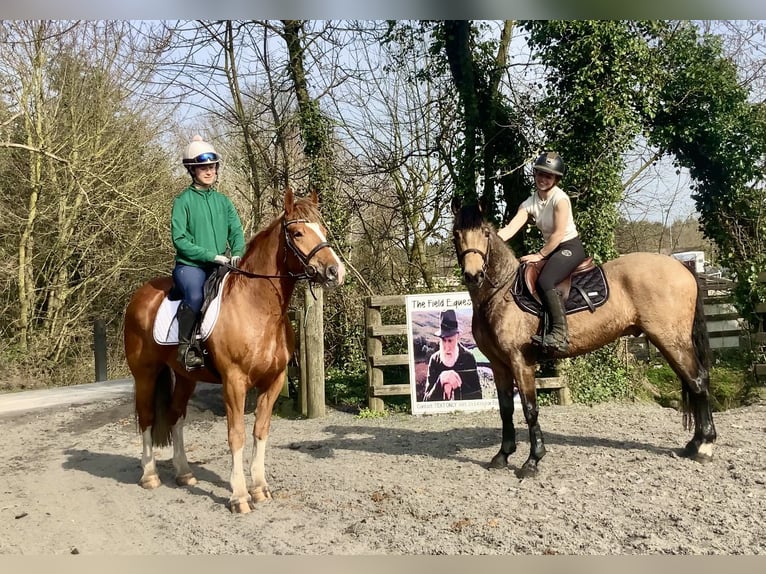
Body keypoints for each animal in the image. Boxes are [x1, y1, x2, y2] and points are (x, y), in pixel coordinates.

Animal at [123, 188, 345, 513]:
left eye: (324, 230)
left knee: (176, 416)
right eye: (298, 232)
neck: (257, 306)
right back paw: (150, 475)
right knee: (148, 417)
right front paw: (239, 495)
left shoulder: (274, 381)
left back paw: (184, 473)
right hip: (145, 375)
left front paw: (260, 487)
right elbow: (236, 434)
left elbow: (260, 431)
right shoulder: (234, 382)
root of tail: (140, 296)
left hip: (186, 378)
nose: (335, 272)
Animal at [450, 198, 716, 478]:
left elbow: (530, 409)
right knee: (697, 382)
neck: (500, 294)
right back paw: (695, 444)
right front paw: (502, 455)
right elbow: (506, 409)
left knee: (698, 382)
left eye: (485, 233)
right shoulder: (499, 364)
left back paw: (704, 446)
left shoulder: (521, 362)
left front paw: (532, 461)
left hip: (671, 341)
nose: (473, 275)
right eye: (456, 234)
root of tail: (681, 267)